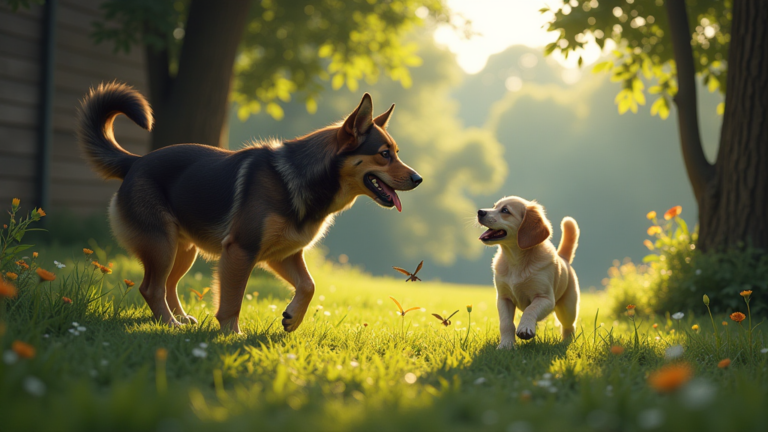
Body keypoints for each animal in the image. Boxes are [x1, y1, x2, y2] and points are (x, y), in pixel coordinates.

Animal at [78, 82, 424, 336]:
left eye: (396, 152)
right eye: (384, 154)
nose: (418, 179)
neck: (304, 177)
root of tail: (135, 162)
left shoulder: (283, 256)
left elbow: (309, 285)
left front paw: (292, 319)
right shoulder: (240, 251)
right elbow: (232, 301)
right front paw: (231, 334)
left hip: (182, 250)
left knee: (168, 285)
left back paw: (180, 319)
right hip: (161, 245)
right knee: (151, 288)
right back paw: (170, 324)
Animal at [476, 197, 580, 350]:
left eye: (505, 210)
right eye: (494, 206)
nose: (480, 212)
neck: (516, 260)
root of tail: (563, 258)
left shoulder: (545, 298)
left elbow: (530, 309)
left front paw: (525, 328)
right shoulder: (503, 298)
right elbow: (506, 323)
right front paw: (506, 345)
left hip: (568, 309)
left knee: (569, 326)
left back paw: (565, 343)